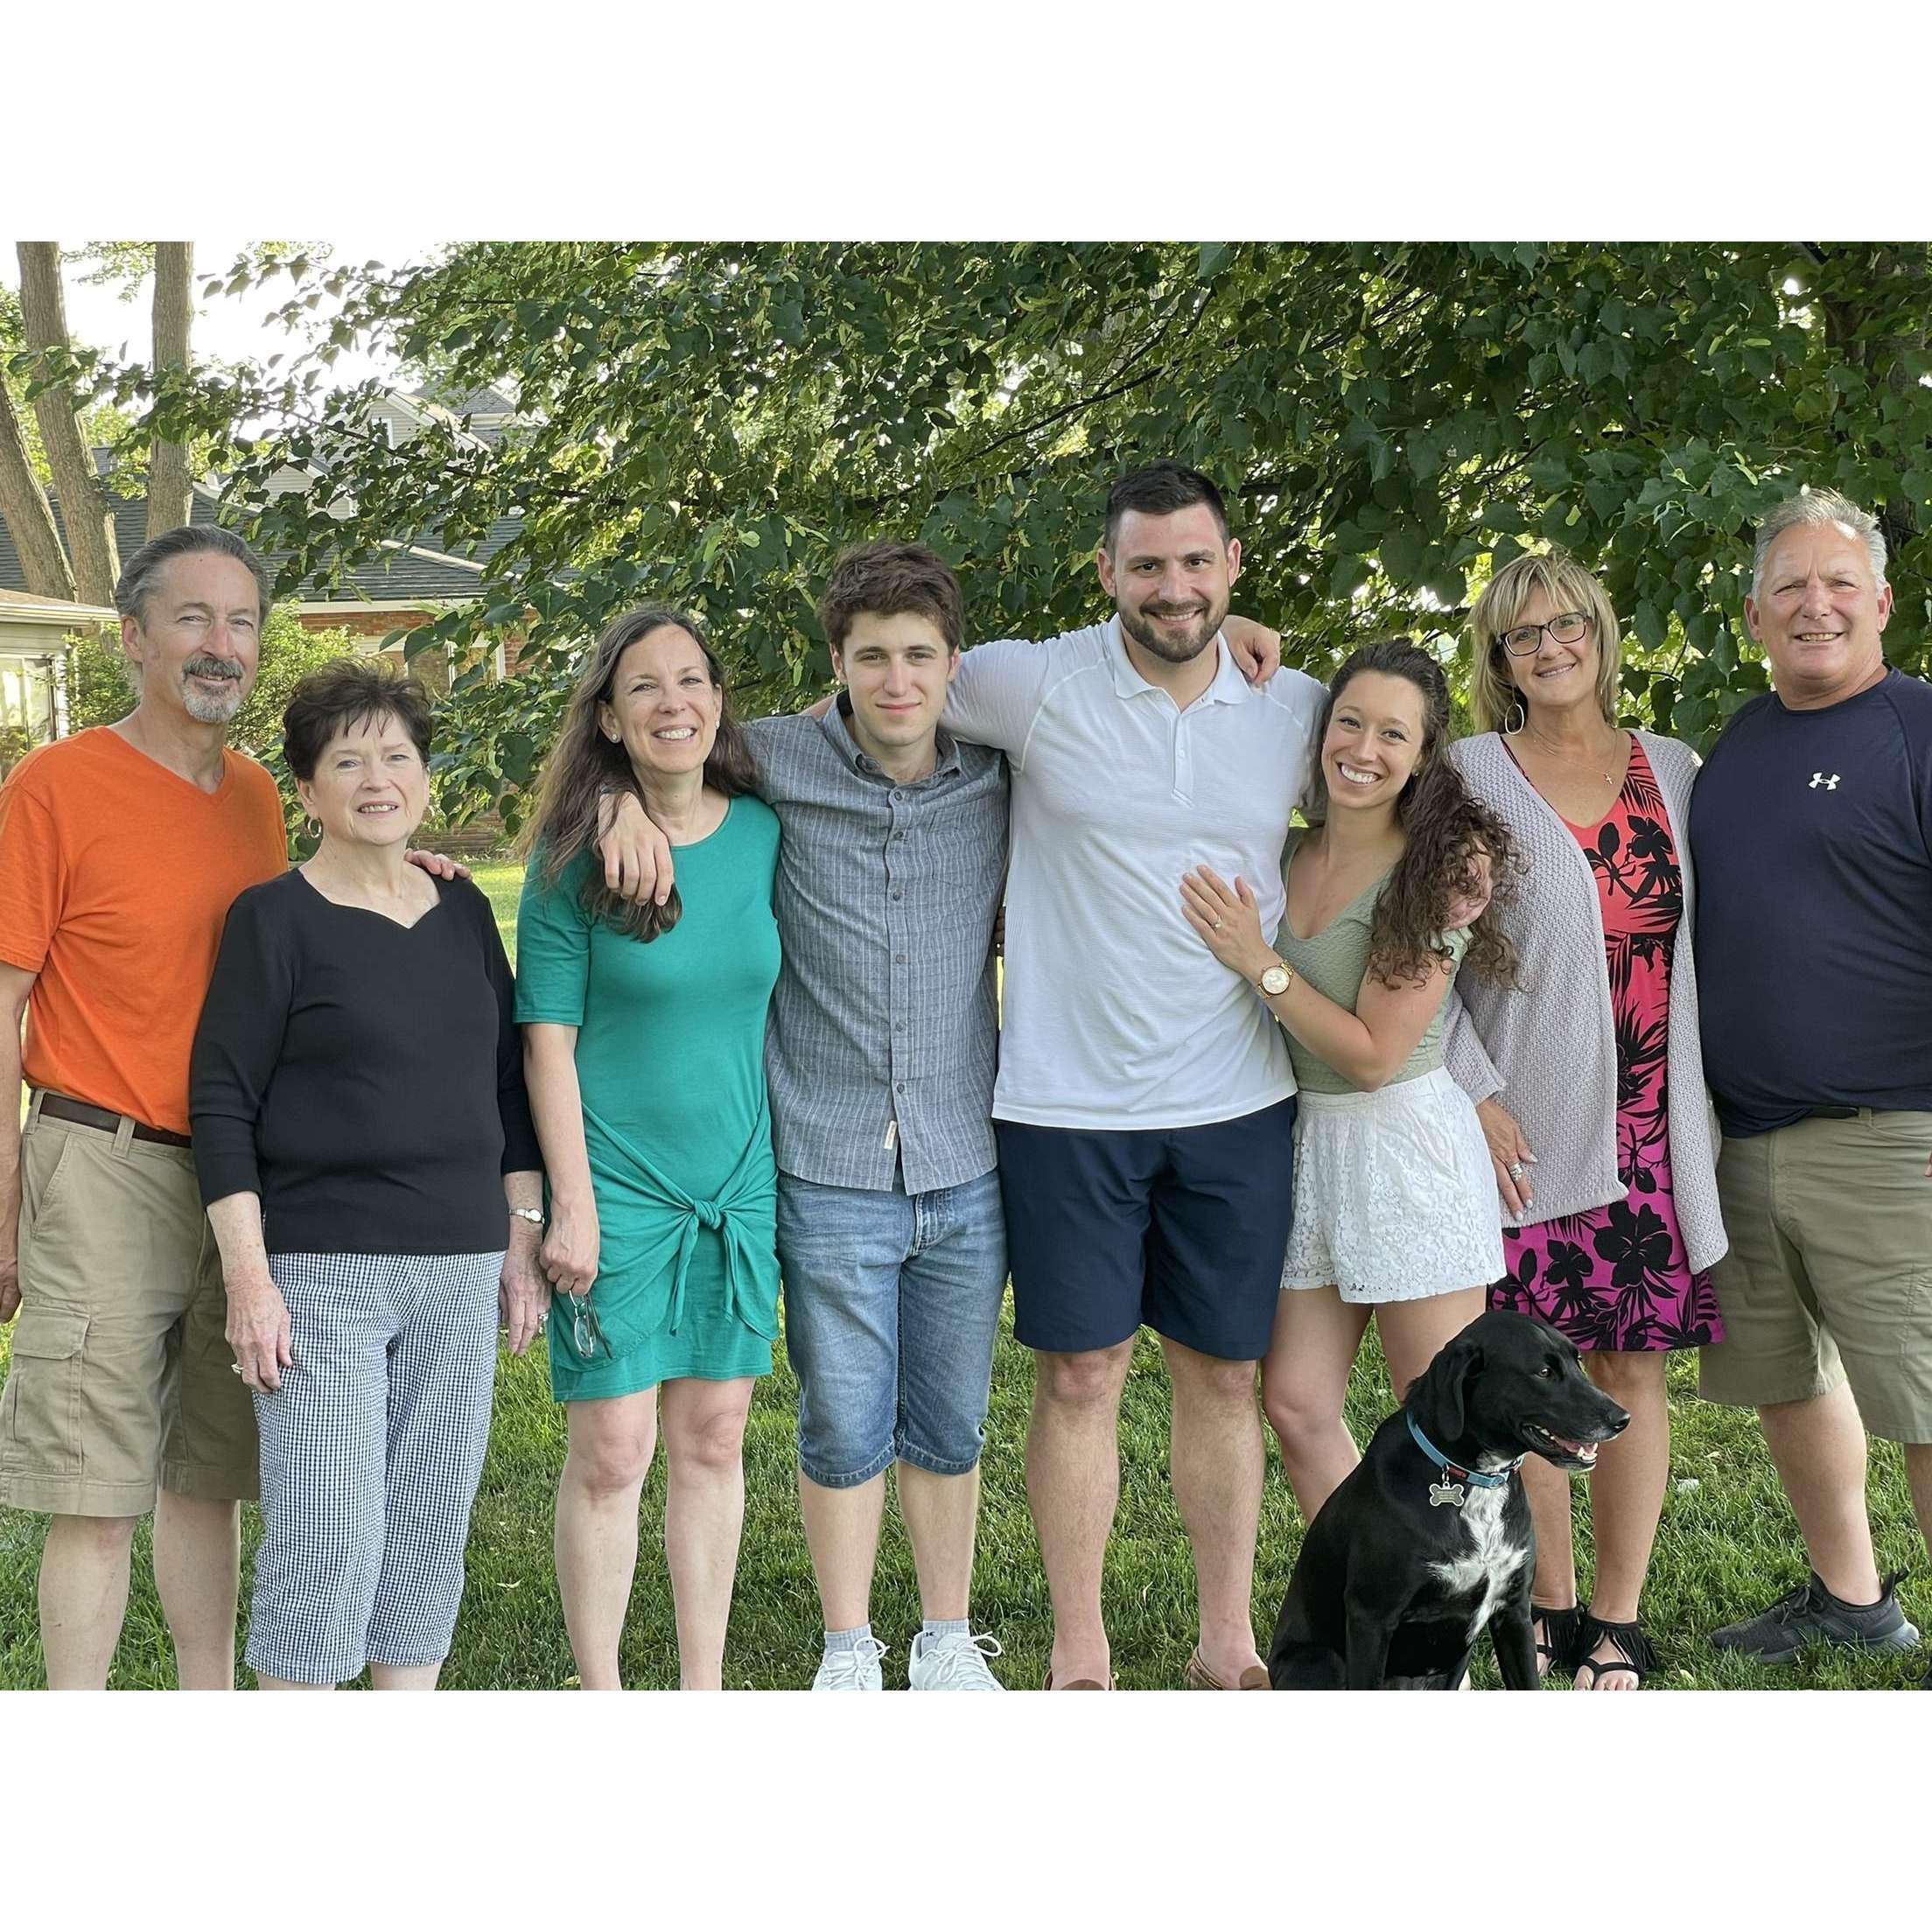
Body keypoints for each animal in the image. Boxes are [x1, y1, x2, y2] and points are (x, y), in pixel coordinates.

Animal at [1267, 1306, 1630, 1684]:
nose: (1622, 1418)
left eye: (1577, 1361)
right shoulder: (1371, 1616)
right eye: (1543, 1372)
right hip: (1319, 1662)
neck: (1476, 1481)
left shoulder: (1513, 1610)